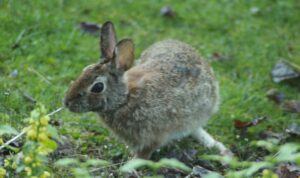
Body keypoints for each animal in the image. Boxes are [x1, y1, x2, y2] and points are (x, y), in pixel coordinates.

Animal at [64, 20, 233, 159]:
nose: (67, 103)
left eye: (98, 87)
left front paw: (131, 165)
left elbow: (145, 153)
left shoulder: (154, 136)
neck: (125, 99)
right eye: (84, 70)